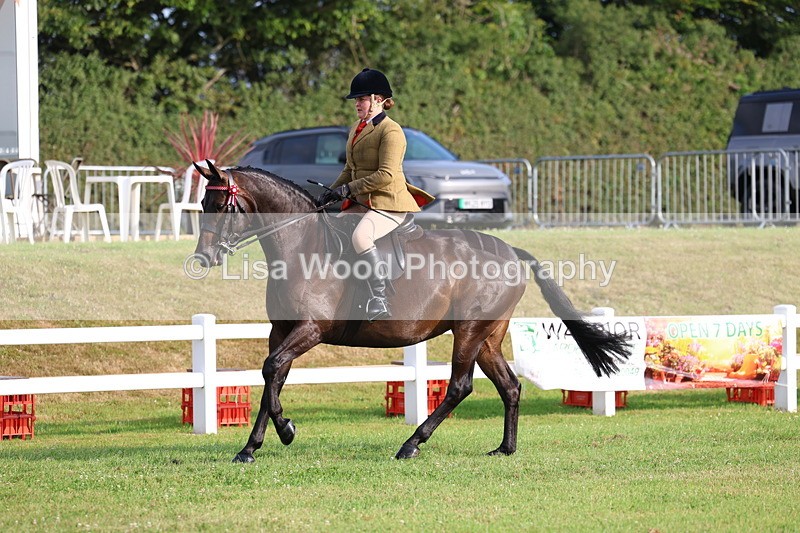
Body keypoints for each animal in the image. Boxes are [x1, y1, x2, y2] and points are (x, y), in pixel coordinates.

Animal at [192, 162, 631, 462]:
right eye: (201, 203)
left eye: (222, 205)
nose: (203, 258)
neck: (302, 245)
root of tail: (510, 250)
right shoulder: (280, 331)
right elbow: (273, 377)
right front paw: (252, 447)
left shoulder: (310, 330)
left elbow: (272, 371)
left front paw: (285, 430)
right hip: (488, 337)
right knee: (509, 386)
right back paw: (504, 448)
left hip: (469, 331)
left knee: (459, 387)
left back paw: (411, 444)